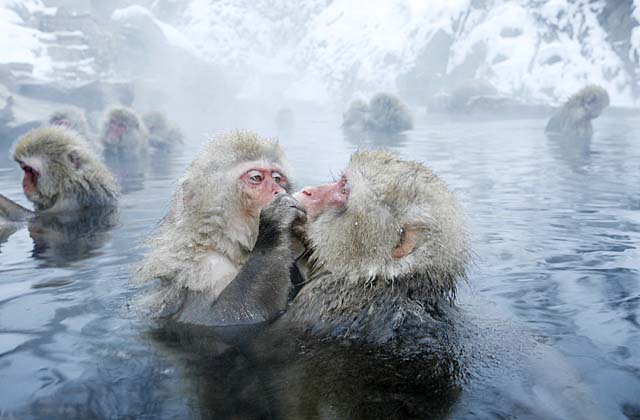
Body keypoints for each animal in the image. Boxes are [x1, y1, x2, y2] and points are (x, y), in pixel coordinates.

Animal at [135, 130, 304, 326]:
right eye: (256, 178)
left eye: (277, 179)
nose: (279, 191)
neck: (222, 243)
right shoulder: (206, 268)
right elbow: (219, 316)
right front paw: (274, 228)